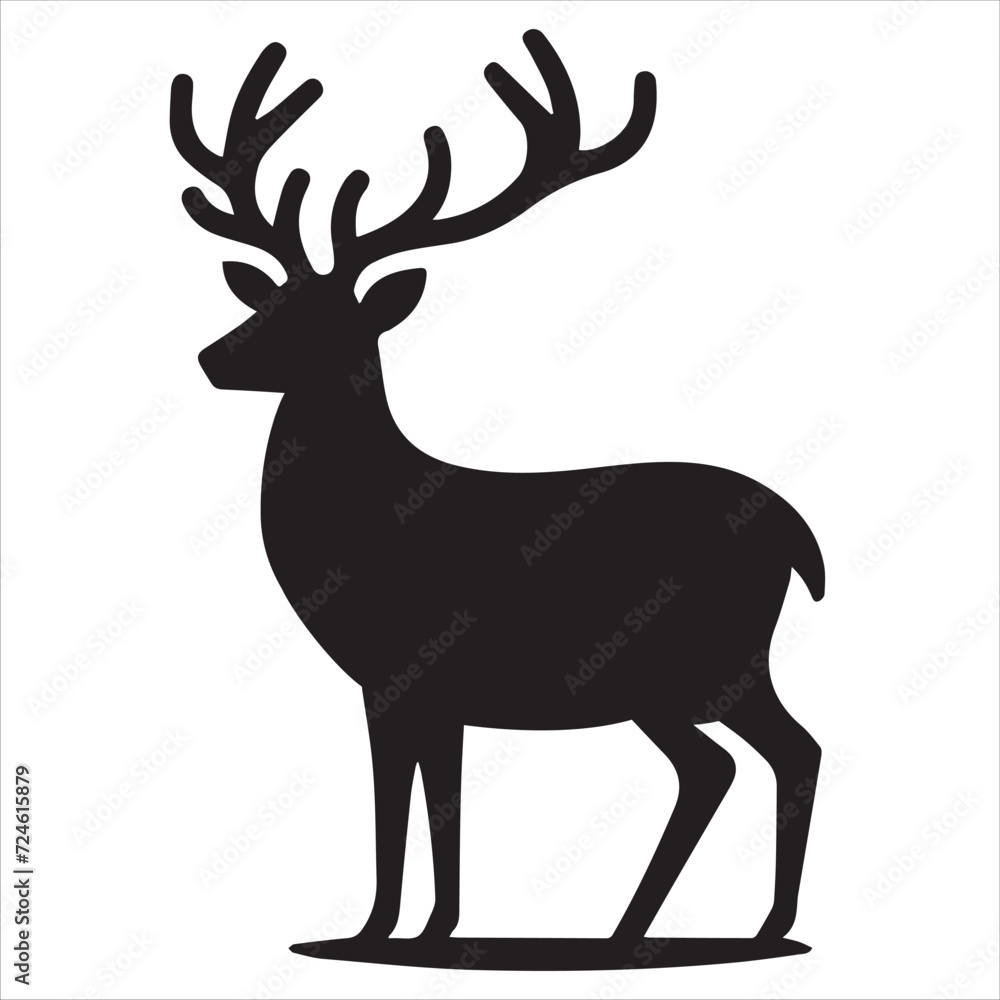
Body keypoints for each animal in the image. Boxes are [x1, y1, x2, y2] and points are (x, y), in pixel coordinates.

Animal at [171, 31, 825, 956]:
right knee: (774, 753)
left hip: (685, 664)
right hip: (719, 668)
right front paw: (403, 930)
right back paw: (724, 926)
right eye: (274, 297)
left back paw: (659, 932)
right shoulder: (408, 688)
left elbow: (414, 803)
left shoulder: (415, 669)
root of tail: (800, 537)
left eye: (330, 318)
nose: (211, 357)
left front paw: (403, 933)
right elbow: (420, 801)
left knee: (734, 761)